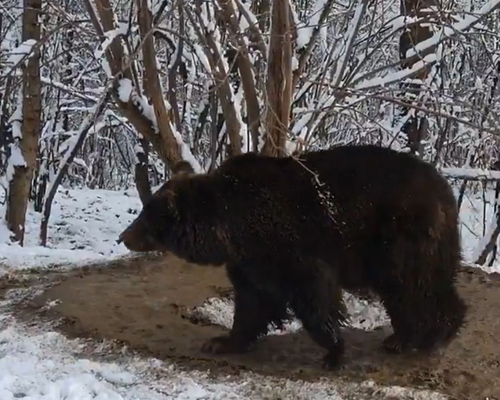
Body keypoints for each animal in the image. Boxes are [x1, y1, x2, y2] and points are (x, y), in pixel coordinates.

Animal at [119, 144, 466, 368]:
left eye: (146, 216)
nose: (123, 237)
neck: (230, 228)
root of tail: (445, 189)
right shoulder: (251, 261)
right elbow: (252, 302)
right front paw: (222, 341)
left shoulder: (288, 244)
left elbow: (312, 293)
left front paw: (333, 349)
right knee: (409, 289)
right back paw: (403, 337)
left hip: (398, 236)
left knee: (415, 285)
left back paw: (436, 336)